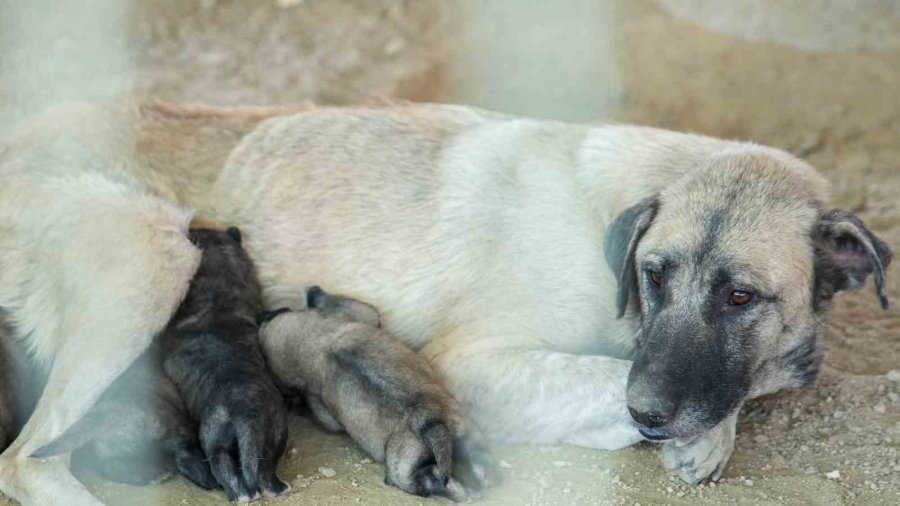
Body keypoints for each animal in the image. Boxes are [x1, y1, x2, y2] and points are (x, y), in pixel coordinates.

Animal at [32, 350, 219, 488]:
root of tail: (109, 410)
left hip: (109, 448)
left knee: (110, 466)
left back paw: (152, 475)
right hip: (171, 424)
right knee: (184, 450)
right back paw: (202, 477)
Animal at [161, 227, 288, 500]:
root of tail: (248, 413)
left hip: (214, 436)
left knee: (223, 466)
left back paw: (241, 495)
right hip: (275, 432)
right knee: (263, 467)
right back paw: (276, 488)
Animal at [258, 284, 500, 502]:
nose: (263, 314)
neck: (316, 341)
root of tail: (428, 419)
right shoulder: (358, 314)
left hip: (404, 468)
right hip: (466, 431)